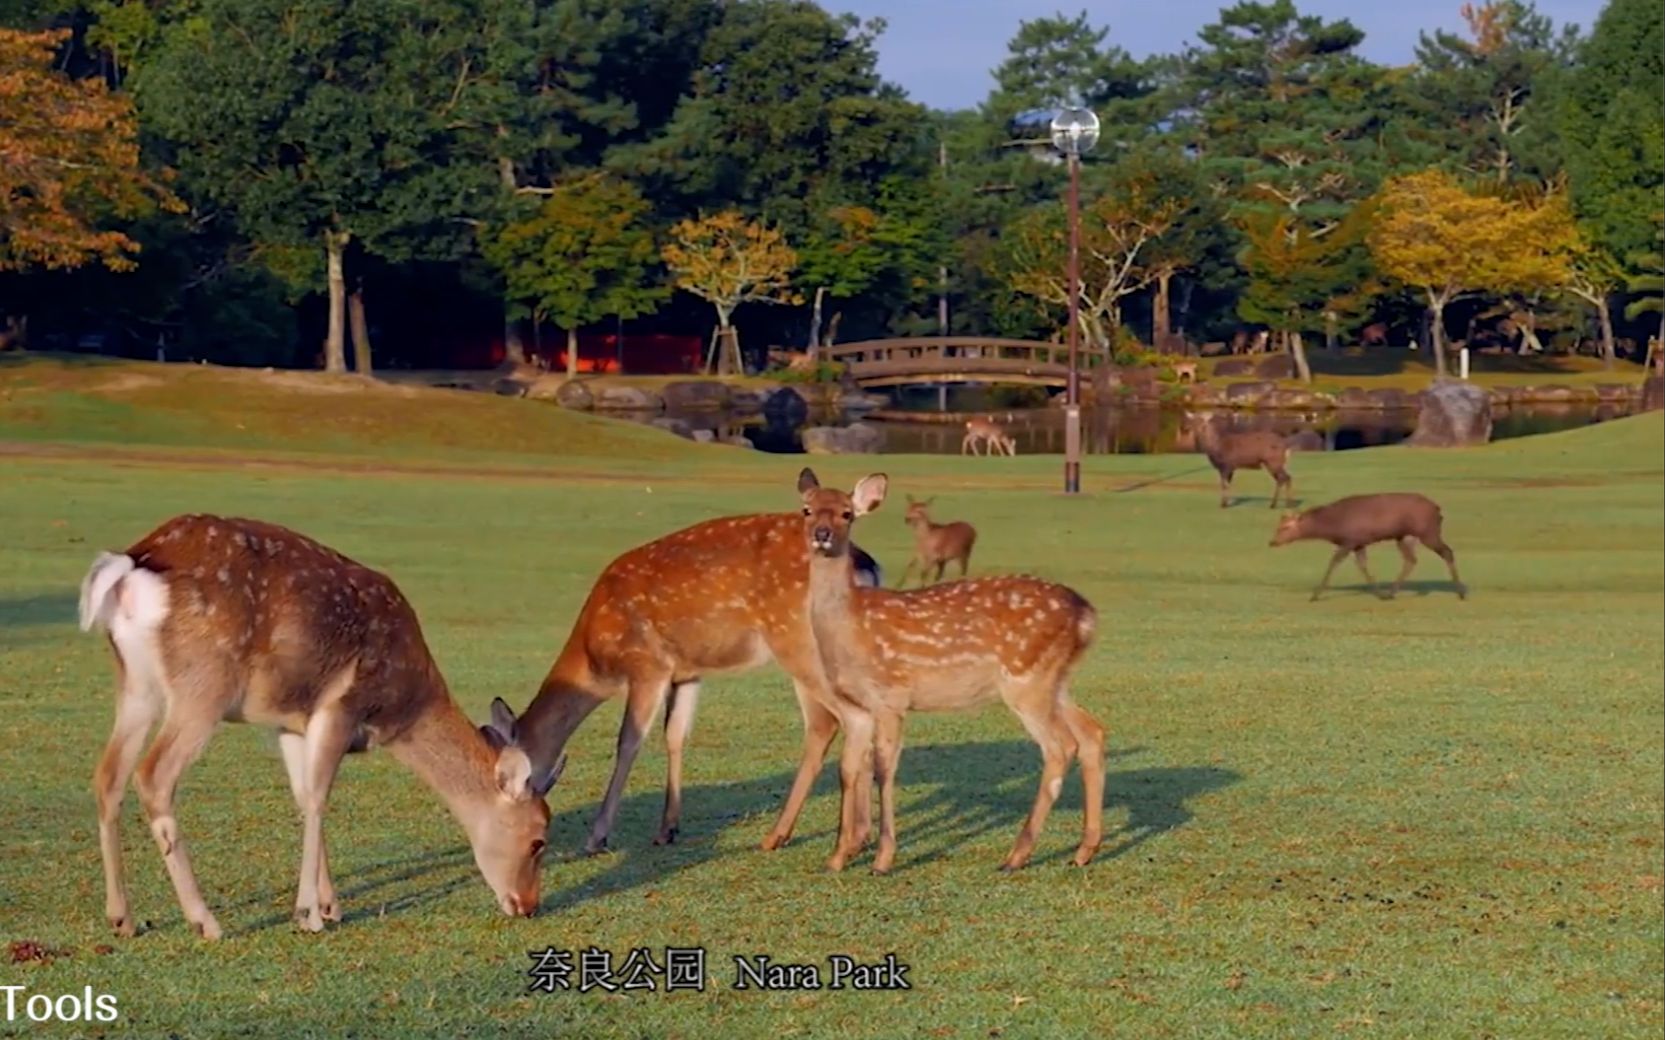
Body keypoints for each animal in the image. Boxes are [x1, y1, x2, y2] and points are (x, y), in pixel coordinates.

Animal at [78, 515, 562, 938]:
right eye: (538, 839)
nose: (528, 905)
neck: (402, 706)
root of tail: (134, 564)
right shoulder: (342, 705)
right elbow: (318, 798)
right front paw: (309, 915)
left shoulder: (291, 721)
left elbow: (303, 795)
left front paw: (330, 906)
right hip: (203, 684)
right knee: (152, 775)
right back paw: (205, 922)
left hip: (136, 684)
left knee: (108, 775)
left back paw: (121, 918)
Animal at [502, 519, 885, 858]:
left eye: (501, 776)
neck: (596, 659)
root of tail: (867, 565)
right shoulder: (685, 673)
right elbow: (674, 735)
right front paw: (667, 828)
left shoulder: (647, 665)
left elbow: (628, 742)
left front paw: (597, 838)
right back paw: (856, 837)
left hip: (798, 641)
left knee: (827, 723)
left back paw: (786, 835)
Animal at [792, 472, 1105, 878]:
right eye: (807, 509)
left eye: (847, 513)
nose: (823, 534)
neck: (850, 628)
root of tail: (1086, 615)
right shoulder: (858, 707)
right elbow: (848, 769)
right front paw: (836, 858)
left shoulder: (891, 695)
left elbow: (883, 769)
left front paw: (882, 859)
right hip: (1057, 681)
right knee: (1093, 733)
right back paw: (1084, 850)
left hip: (1026, 680)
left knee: (1061, 746)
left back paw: (1016, 855)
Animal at [1265, 492, 1465, 599]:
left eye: (1285, 527)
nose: (1272, 542)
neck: (1332, 528)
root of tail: (1438, 510)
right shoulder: (1358, 543)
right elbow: (1362, 566)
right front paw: (1379, 594)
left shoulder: (1349, 540)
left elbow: (1333, 562)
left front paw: (1315, 596)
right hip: (1404, 536)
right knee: (1411, 560)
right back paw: (1392, 593)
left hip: (1428, 532)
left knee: (1447, 552)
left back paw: (1461, 593)